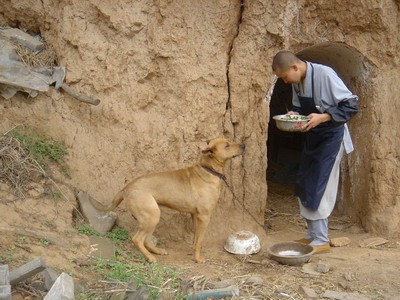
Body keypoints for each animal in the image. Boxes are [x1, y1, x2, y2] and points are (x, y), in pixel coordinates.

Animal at [92, 138, 245, 262]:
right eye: (227, 145)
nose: (244, 145)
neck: (208, 169)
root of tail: (126, 188)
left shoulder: (195, 215)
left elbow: (196, 238)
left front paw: (193, 252)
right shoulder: (204, 216)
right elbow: (200, 240)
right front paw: (197, 258)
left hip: (151, 218)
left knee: (146, 239)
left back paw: (157, 251)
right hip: (152, 216)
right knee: (138, 239)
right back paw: (150, 257)